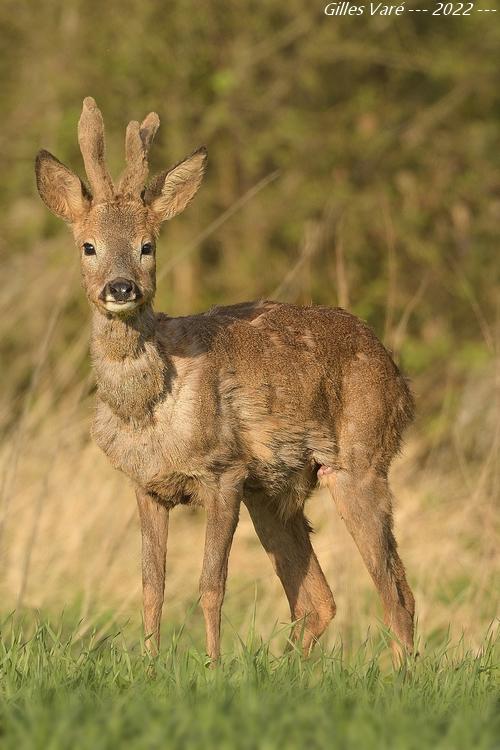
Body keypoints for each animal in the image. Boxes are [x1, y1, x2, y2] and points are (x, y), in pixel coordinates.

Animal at [35, 98, 416, 664]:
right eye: (88, 246)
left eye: (147, 246)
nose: (121, 288)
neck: (150, 409)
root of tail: (399, 378)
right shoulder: (147, 486)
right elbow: (152, 585)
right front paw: (150, 667)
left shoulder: (224, 471)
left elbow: (211, 584)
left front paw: (213, 668)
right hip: (276, 491)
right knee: (320, 600)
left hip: (360, 460)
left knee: (394, 593)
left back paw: (399, 676)